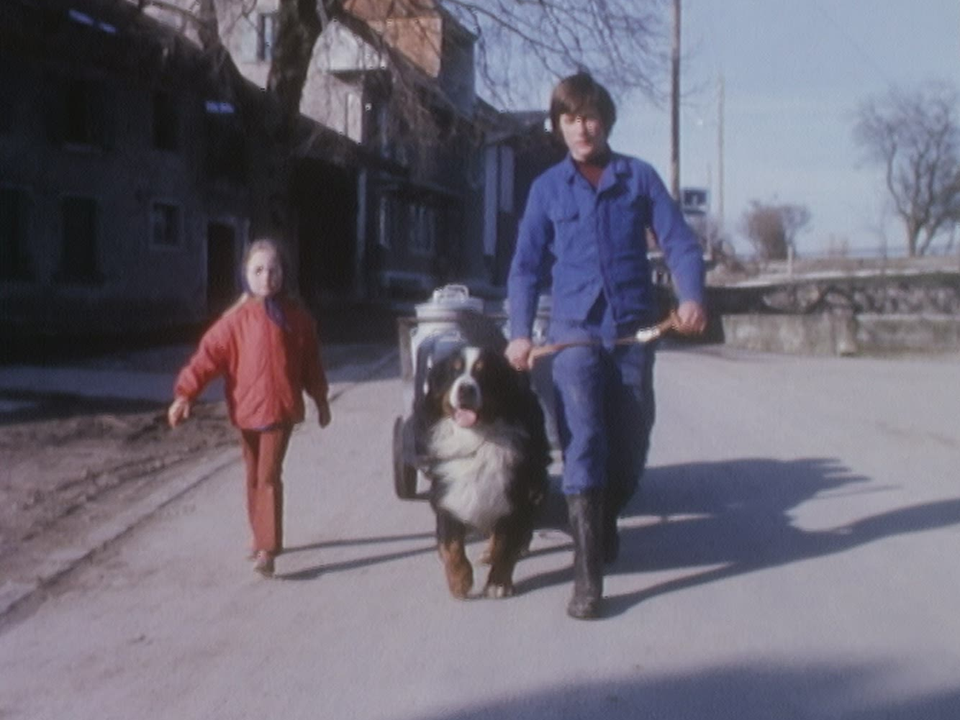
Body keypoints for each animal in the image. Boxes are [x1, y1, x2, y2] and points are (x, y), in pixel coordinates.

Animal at [418, 342, 548, 596]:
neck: (476, 438)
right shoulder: (447, 492)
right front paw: (459, 580)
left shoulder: (512, 494)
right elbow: (451, 544)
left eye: (483, 373)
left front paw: (498, 582)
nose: (465, 389)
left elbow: (504, 544)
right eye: (454, 372)